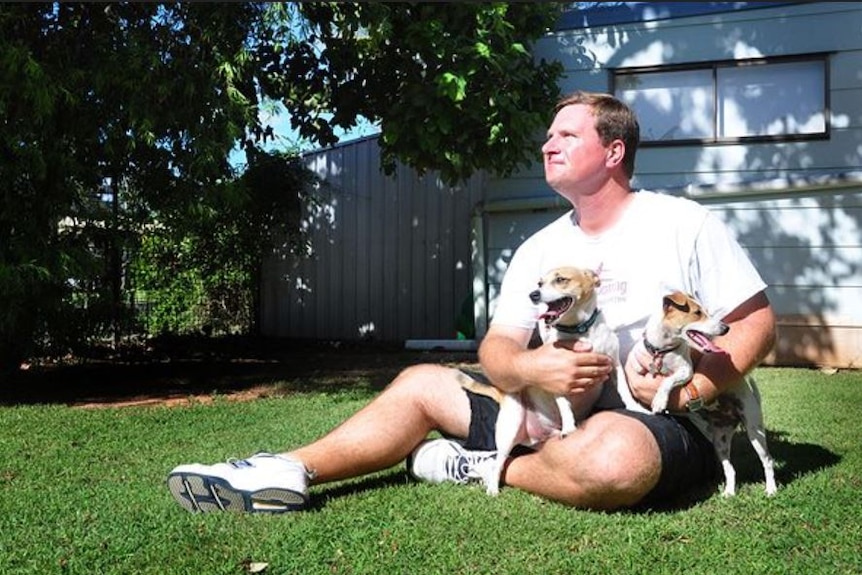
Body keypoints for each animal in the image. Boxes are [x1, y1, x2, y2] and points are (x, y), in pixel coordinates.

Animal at [486, 268, 620, 498]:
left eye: (560, 279)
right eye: (539, 283)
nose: (533, 294)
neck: (580, 332)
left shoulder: (615, 364)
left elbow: (625, 390)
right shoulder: (559, 376)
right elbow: (565, 405)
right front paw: (569, 425)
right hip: (510, 426)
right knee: (498, 462)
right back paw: (492, 487)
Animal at [644, 292, 780, 496]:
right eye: (697, 313)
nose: (726, 328)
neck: (664, 350)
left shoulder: (686, 371)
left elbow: (668, 381)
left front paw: (660, 399)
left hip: (755, 430)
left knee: (768, 460)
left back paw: (771, 489)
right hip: (720, 442)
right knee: (730, 469)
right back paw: (729, 493)